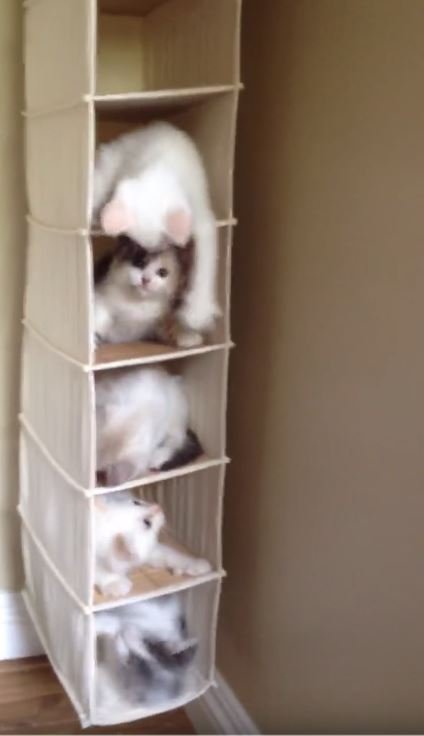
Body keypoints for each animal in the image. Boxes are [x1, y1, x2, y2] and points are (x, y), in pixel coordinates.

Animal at [92, 121, 220, 333]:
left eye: (163, 243)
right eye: (136, 246)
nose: (150, 254)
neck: (159, 170)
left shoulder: (201, 218)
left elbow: (205, 260)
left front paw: (196, 313)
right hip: (113, 156)